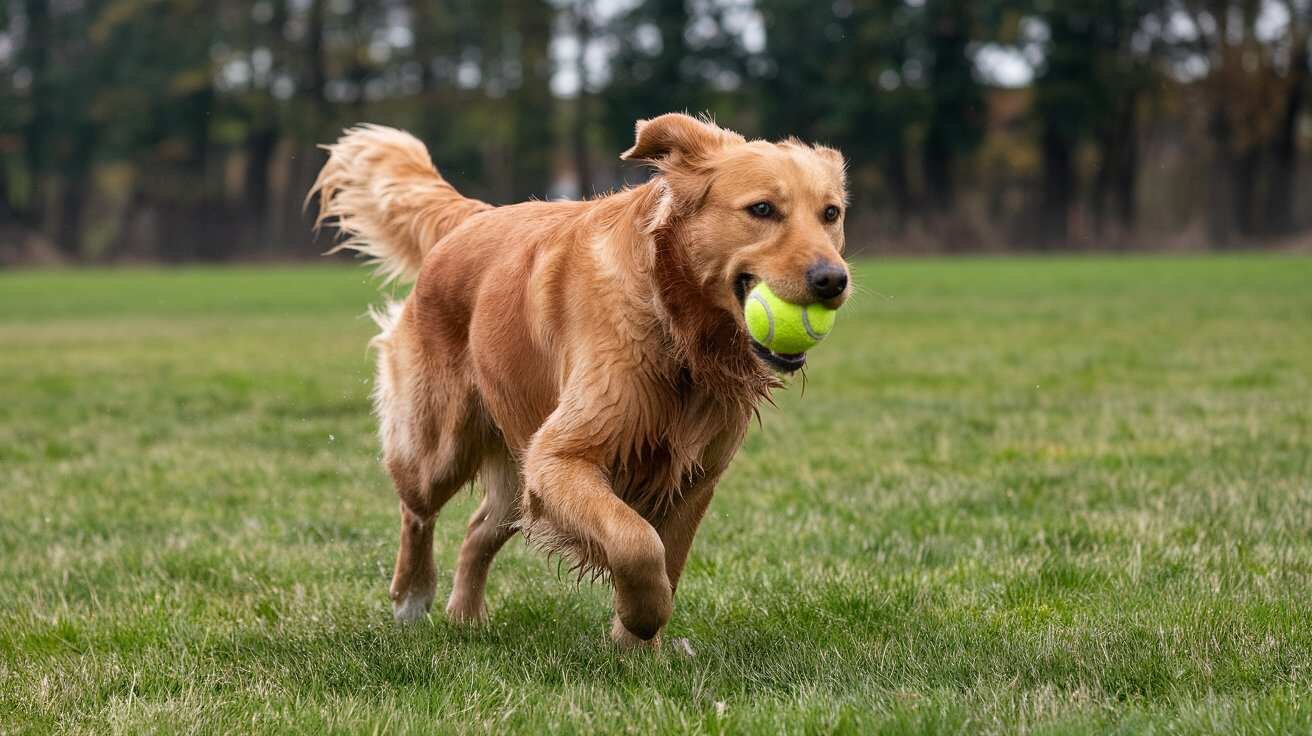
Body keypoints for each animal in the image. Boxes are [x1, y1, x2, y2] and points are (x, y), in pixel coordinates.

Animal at [313, 112, 855, 645]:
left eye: (830, 214)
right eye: (762, 209)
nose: (833, 280)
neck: (672, 322)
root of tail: (475, 216)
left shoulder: (695, 477)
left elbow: (667, 557)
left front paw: (640, 650)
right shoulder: (560, 457)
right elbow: (638, 542)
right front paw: (641, 617)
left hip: (517, 466)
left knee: (478, 527)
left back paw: (466, 617)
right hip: (443, 446)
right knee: (417, 511)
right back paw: (412, 598)